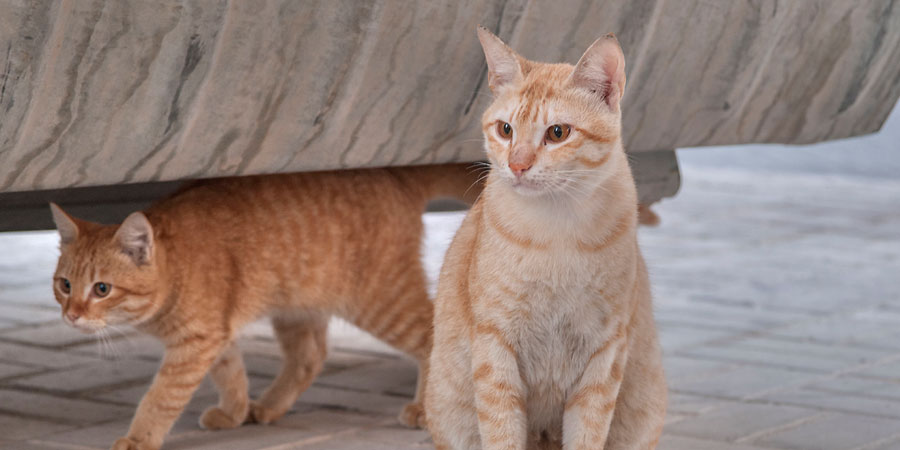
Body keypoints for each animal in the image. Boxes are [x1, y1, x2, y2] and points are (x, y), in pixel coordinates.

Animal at [49, 164, 482, 450]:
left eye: (102, 289)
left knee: (430, 340)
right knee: (310, 356)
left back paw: (425, 410)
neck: (175, 270)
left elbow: (161, 397)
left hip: (381, 302)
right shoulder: (217, 334)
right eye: (65, 285)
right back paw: (270, 406)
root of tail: (394, 172)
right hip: (296, 307)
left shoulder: (195, 343)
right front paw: (234, 411)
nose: (72, 315)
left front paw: (138, 438)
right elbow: (230, 373)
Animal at [426, 29, 664, 450]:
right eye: (505, 130)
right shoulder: (495, 345)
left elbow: (587, 434)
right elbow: (502, 432)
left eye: (558, 133)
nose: (517, 165)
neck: (557, 233)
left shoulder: (604, 354)